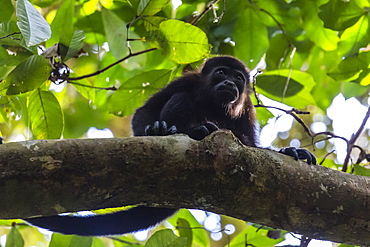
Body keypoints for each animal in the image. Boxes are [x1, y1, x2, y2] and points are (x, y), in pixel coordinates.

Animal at [26, 56, 316, 237]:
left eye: (238, 78)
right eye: (221, 73)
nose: (229, 83)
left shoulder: (245, 108)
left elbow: (249, 144)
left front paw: (290, 151)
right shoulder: (186, 80)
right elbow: (146, 111)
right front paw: (155, 130)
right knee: (180, 99)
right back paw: (192, 131)